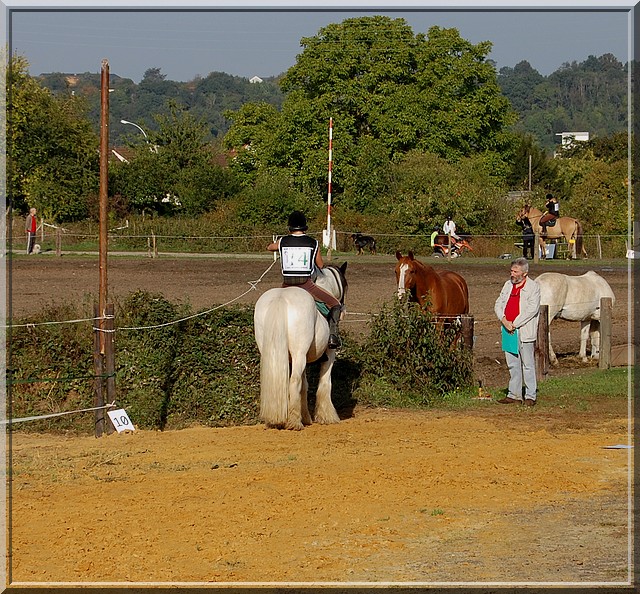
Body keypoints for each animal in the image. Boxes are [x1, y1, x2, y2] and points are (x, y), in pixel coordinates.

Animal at [252, 264, 348, 430]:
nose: (343, 308)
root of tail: (280, 298)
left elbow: (305, 385)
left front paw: (307, 417)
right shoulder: (330, 354)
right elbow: (324, 383)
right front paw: (327, 416)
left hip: (275, 353)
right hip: (299, 355)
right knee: (294, 381)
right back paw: (294, 422)